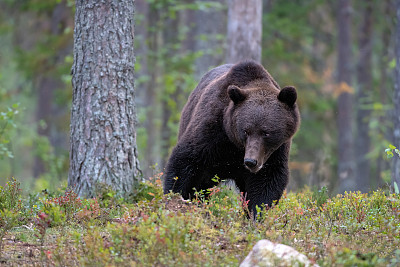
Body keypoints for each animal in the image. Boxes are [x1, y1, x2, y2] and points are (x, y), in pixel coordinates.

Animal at [163, 61, 300, 220]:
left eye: (266, 132)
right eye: (246, 131)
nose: (250, 161)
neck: (235, 147)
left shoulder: (275, 152)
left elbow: (266, 183)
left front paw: (255, 215)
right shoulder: (212, 132)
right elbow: (186, 162)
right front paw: (175, 202)